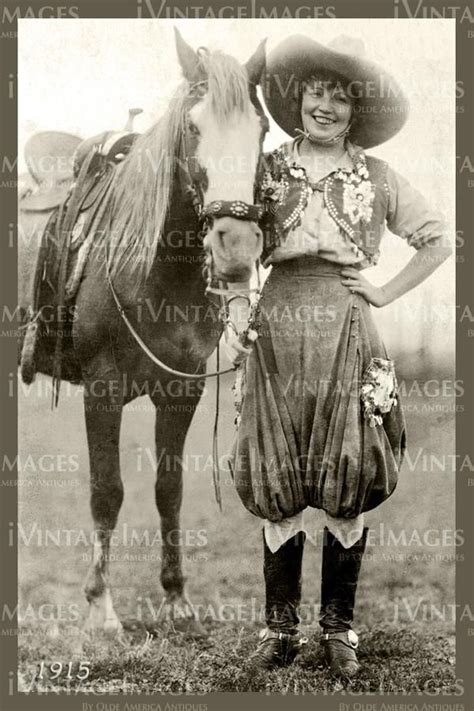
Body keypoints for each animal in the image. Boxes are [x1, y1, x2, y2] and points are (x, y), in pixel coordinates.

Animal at [19, 30, 266, 636]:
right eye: (193, 128)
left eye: (261, 129)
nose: (235, 246)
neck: (156, 269)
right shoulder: (103, 390)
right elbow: (108, 492)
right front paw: (100, 608)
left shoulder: (183, 390)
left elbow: (167, 491)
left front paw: (177, 601)